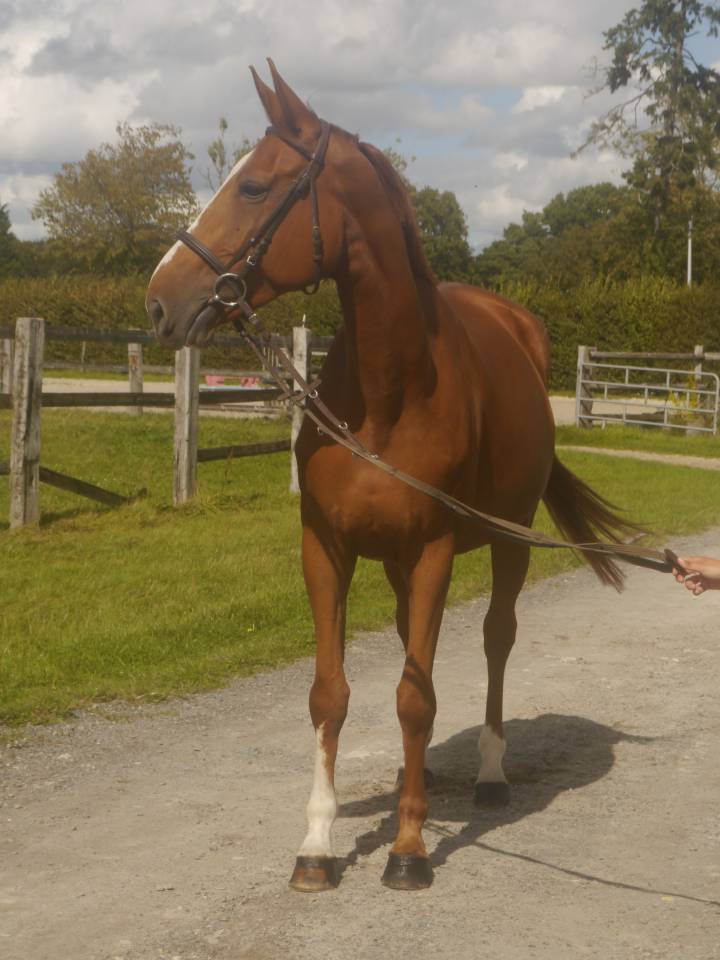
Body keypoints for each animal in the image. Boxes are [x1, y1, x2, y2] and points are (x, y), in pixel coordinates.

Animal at [146, 60, 633, 892]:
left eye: (255, 187)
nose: (159, 300)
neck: (389, 393)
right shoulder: (327, 549)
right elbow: (332, 694)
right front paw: (316, 845)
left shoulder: (436, 550)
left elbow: (412, 697)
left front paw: (408, 848)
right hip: (403, 565)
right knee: (417, 646)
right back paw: (422, 778)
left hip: (508, 541)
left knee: (495, 642)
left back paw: (488, 773)